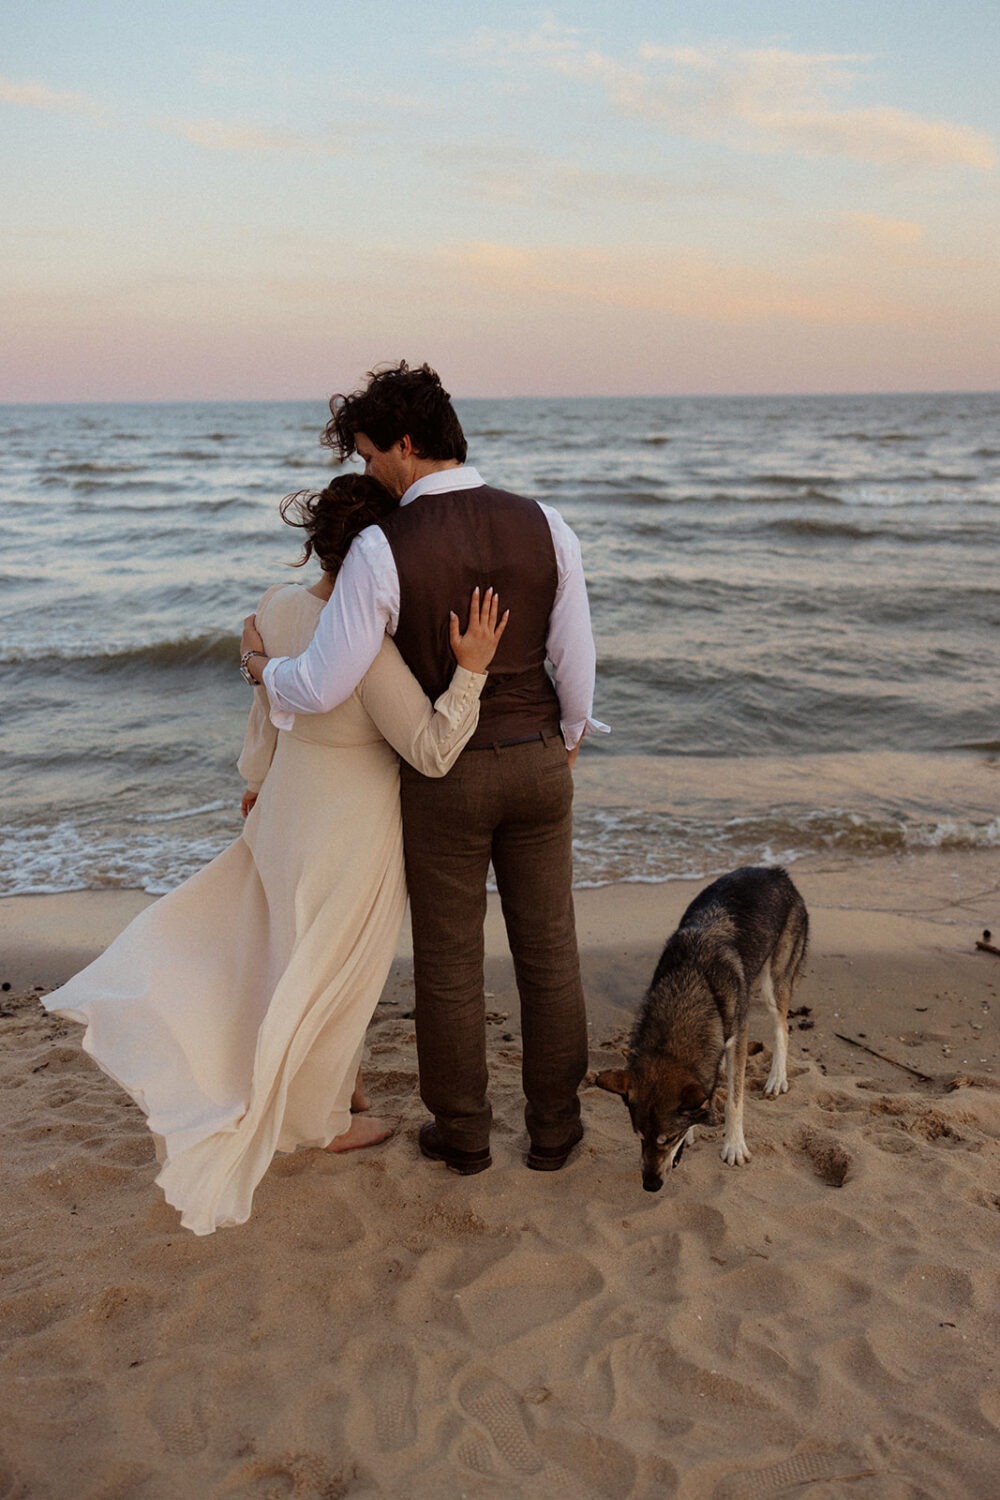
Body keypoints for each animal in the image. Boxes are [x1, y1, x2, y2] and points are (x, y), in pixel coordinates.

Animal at [599, 870, 809, 1194]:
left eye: (667, 1139)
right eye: (640, 1137)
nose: (650, 1185)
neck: (691, 985)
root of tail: (776, 872)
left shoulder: (739, 1035)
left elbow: (735, 1100)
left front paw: (734, 1147)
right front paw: (694, 1130)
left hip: (774, 983)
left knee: (782, 1028)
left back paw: (776, 1079)